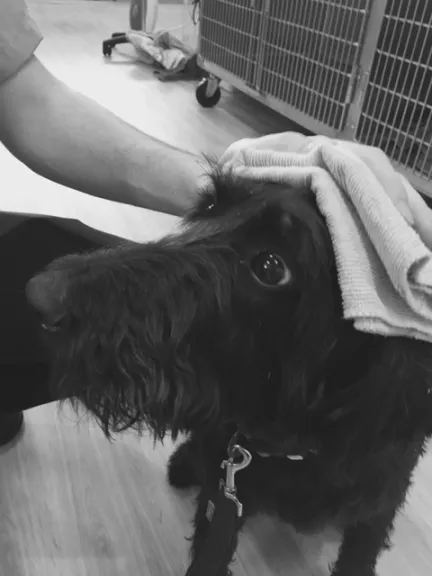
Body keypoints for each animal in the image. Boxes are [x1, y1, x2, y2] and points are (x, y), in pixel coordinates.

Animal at [26, 172, 432, 576]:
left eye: (271, 267)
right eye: (209, 205)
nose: (40, 294)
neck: (291, 447)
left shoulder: (377, 505)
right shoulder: (223, 497)